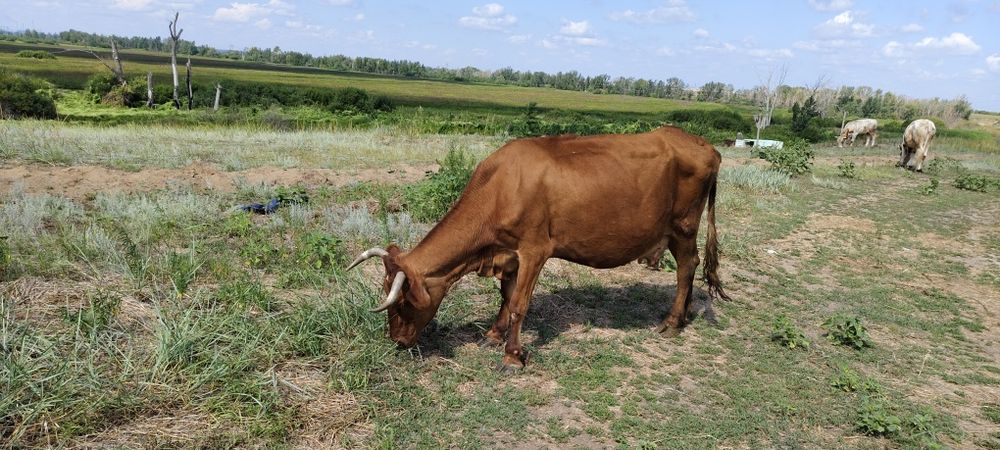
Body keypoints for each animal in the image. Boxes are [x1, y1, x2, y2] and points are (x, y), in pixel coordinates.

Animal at [345, 126, 730, 372]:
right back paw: (681, 317)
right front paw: (493, 336)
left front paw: (512, 356)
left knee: (688, 265)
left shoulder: (535, 250)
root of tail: (703, 144)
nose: (397, 341)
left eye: (403, 303)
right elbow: (505, 295)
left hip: (683, 226)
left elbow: (519, 304)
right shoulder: (508, 253)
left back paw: (672, 322)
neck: (500, 187)